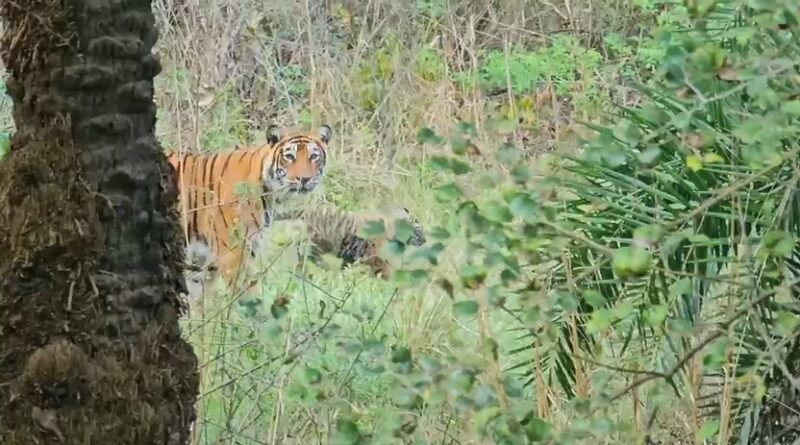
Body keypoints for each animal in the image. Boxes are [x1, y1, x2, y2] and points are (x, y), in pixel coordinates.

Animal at [166, 124, 333, 298]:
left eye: (313, 156)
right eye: (289, 157)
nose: (304, 179)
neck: (271, 192)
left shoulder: (204, 260)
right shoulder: (232, 253)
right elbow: (247, 293)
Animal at [271, 205, 426, 278]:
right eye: (419, 230)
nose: (425, 241)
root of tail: (306, 210)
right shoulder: (376, 258)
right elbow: (387, 270)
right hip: (317, 248)